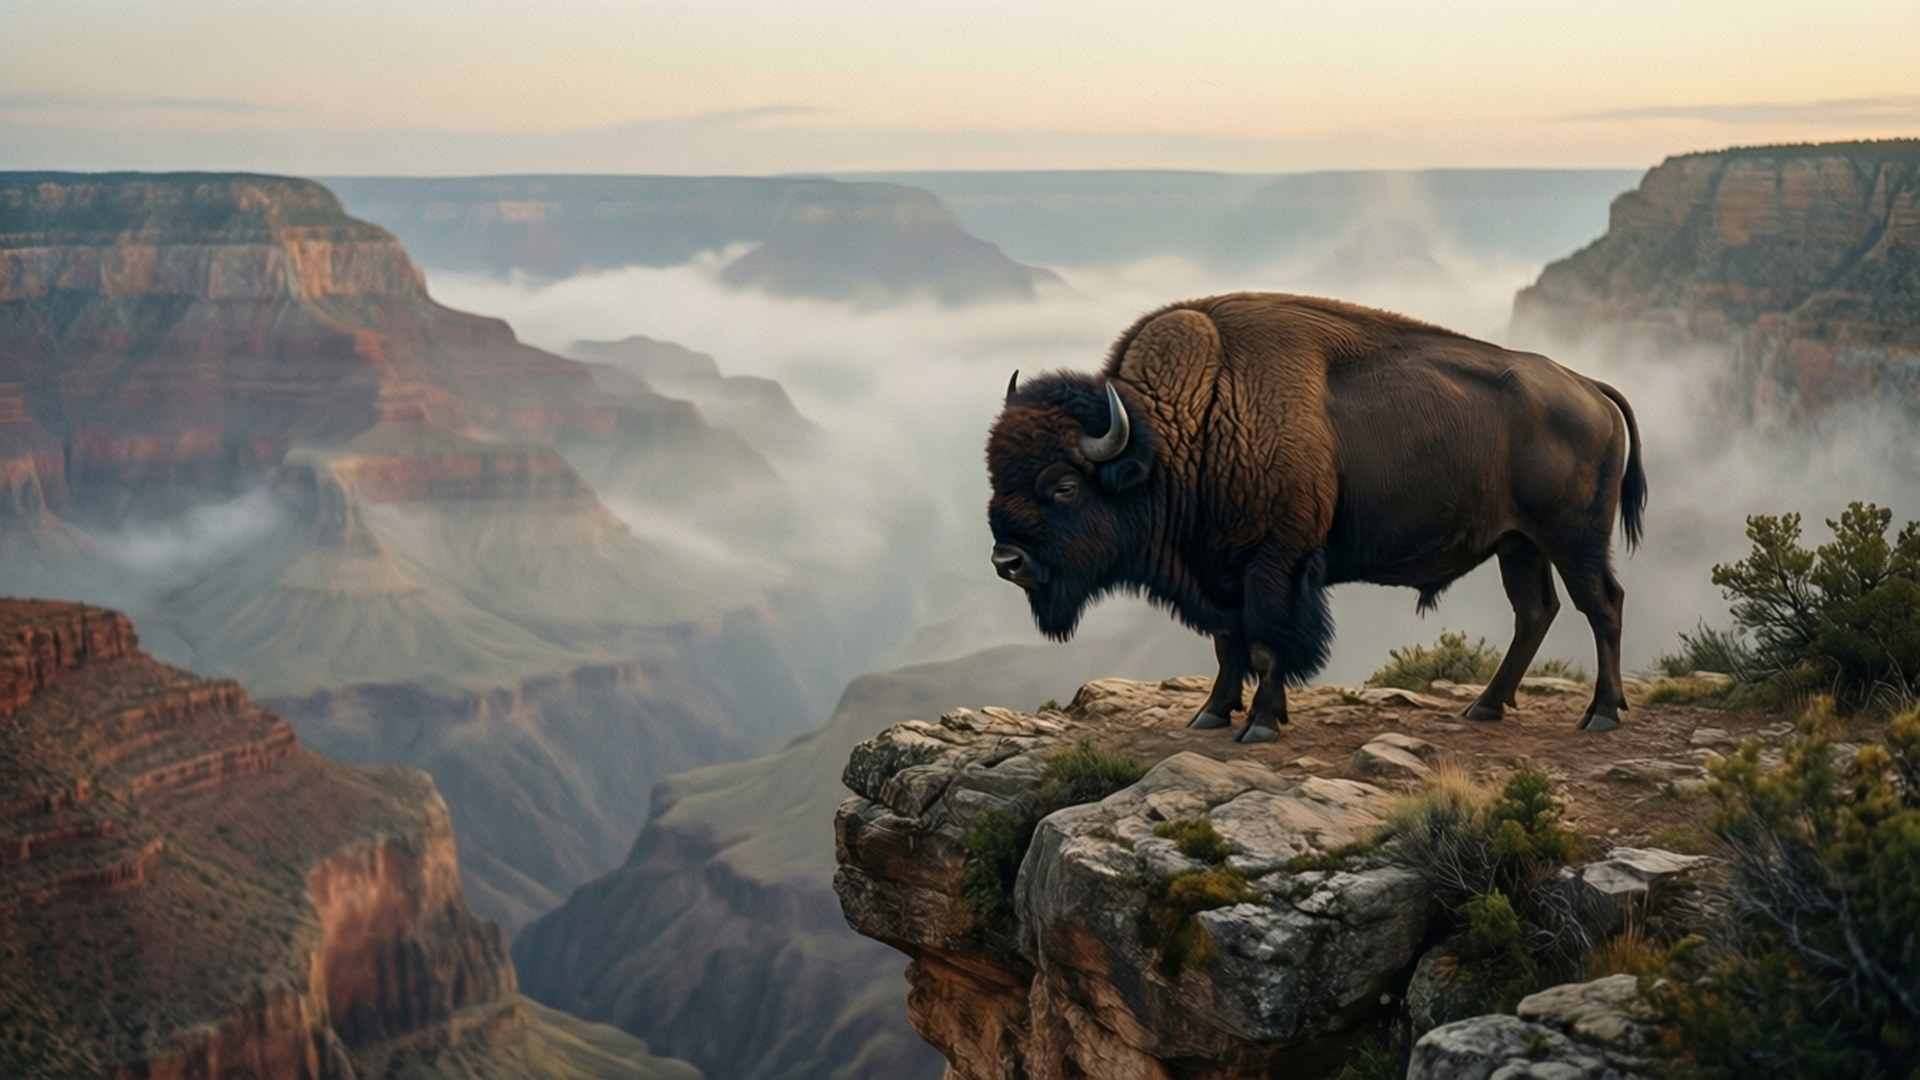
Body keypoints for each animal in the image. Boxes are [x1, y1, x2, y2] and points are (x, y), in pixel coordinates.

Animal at [986, 292, 1644, 744]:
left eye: (1064, 486)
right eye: (995, 473)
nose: (1006, 560)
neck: (1182, 433)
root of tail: (1588, 386)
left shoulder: (1274, 565)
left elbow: (1265, 645)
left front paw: (1260, 724)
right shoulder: (1220, 573)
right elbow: (1228, 646)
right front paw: (1210, 715)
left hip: (1572, 539)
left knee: (1602, 605)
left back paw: (1600, 714)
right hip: (1518, 543)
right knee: (1535, 611)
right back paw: (1485, 705)